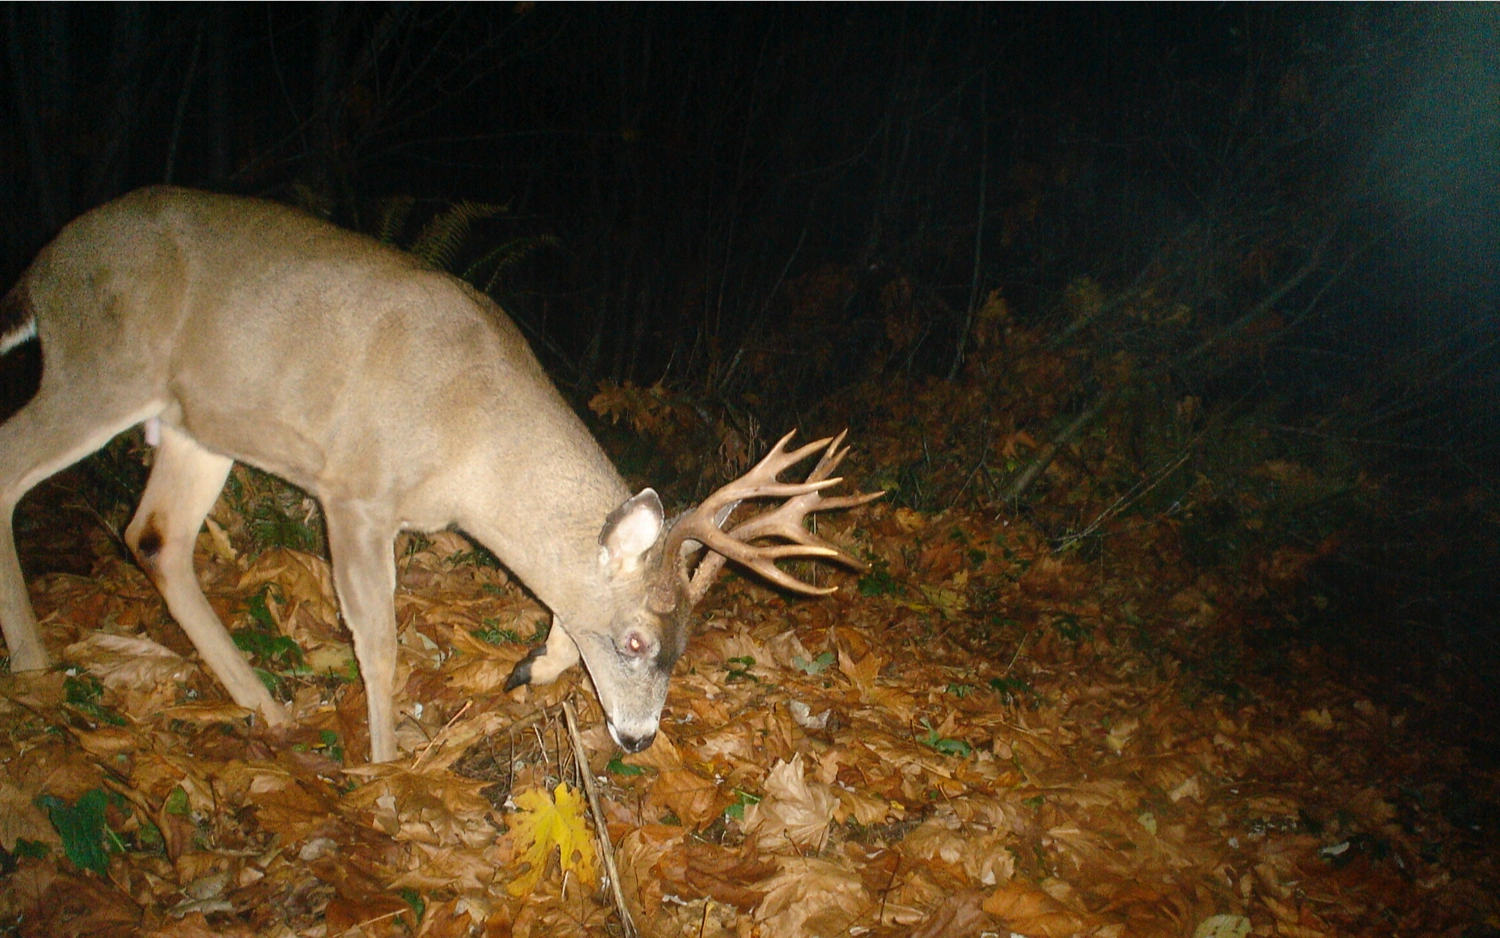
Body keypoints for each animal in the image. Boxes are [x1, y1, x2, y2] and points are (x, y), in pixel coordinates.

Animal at [0, 186, 879, 763]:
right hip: (102, 364)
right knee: (17, 464)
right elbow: (379, 640)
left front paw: (528, 669)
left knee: (154, 537)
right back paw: (36, 668)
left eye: (683, 645)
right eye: (633, 640)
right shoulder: (355, 488)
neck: (471, 450)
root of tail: (42, 267)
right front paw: (388, 762)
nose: (637, 739)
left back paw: (267, 707)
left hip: (198, 422)